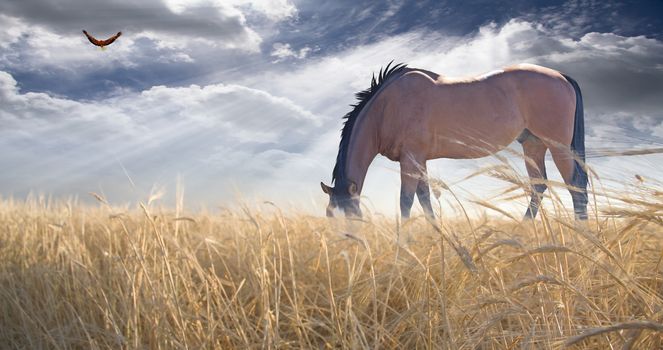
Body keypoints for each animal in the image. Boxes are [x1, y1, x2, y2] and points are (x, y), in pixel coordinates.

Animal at [320, 60, 588, 219]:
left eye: (353, 216)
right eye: (330, 214)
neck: (387, 107)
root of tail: (561, 76)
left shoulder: (410, 160)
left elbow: (406, 201)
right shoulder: (419, 161)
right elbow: (425, 199)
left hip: (557, 146)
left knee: (575, 186)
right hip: (533, 145)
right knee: (538, 186)